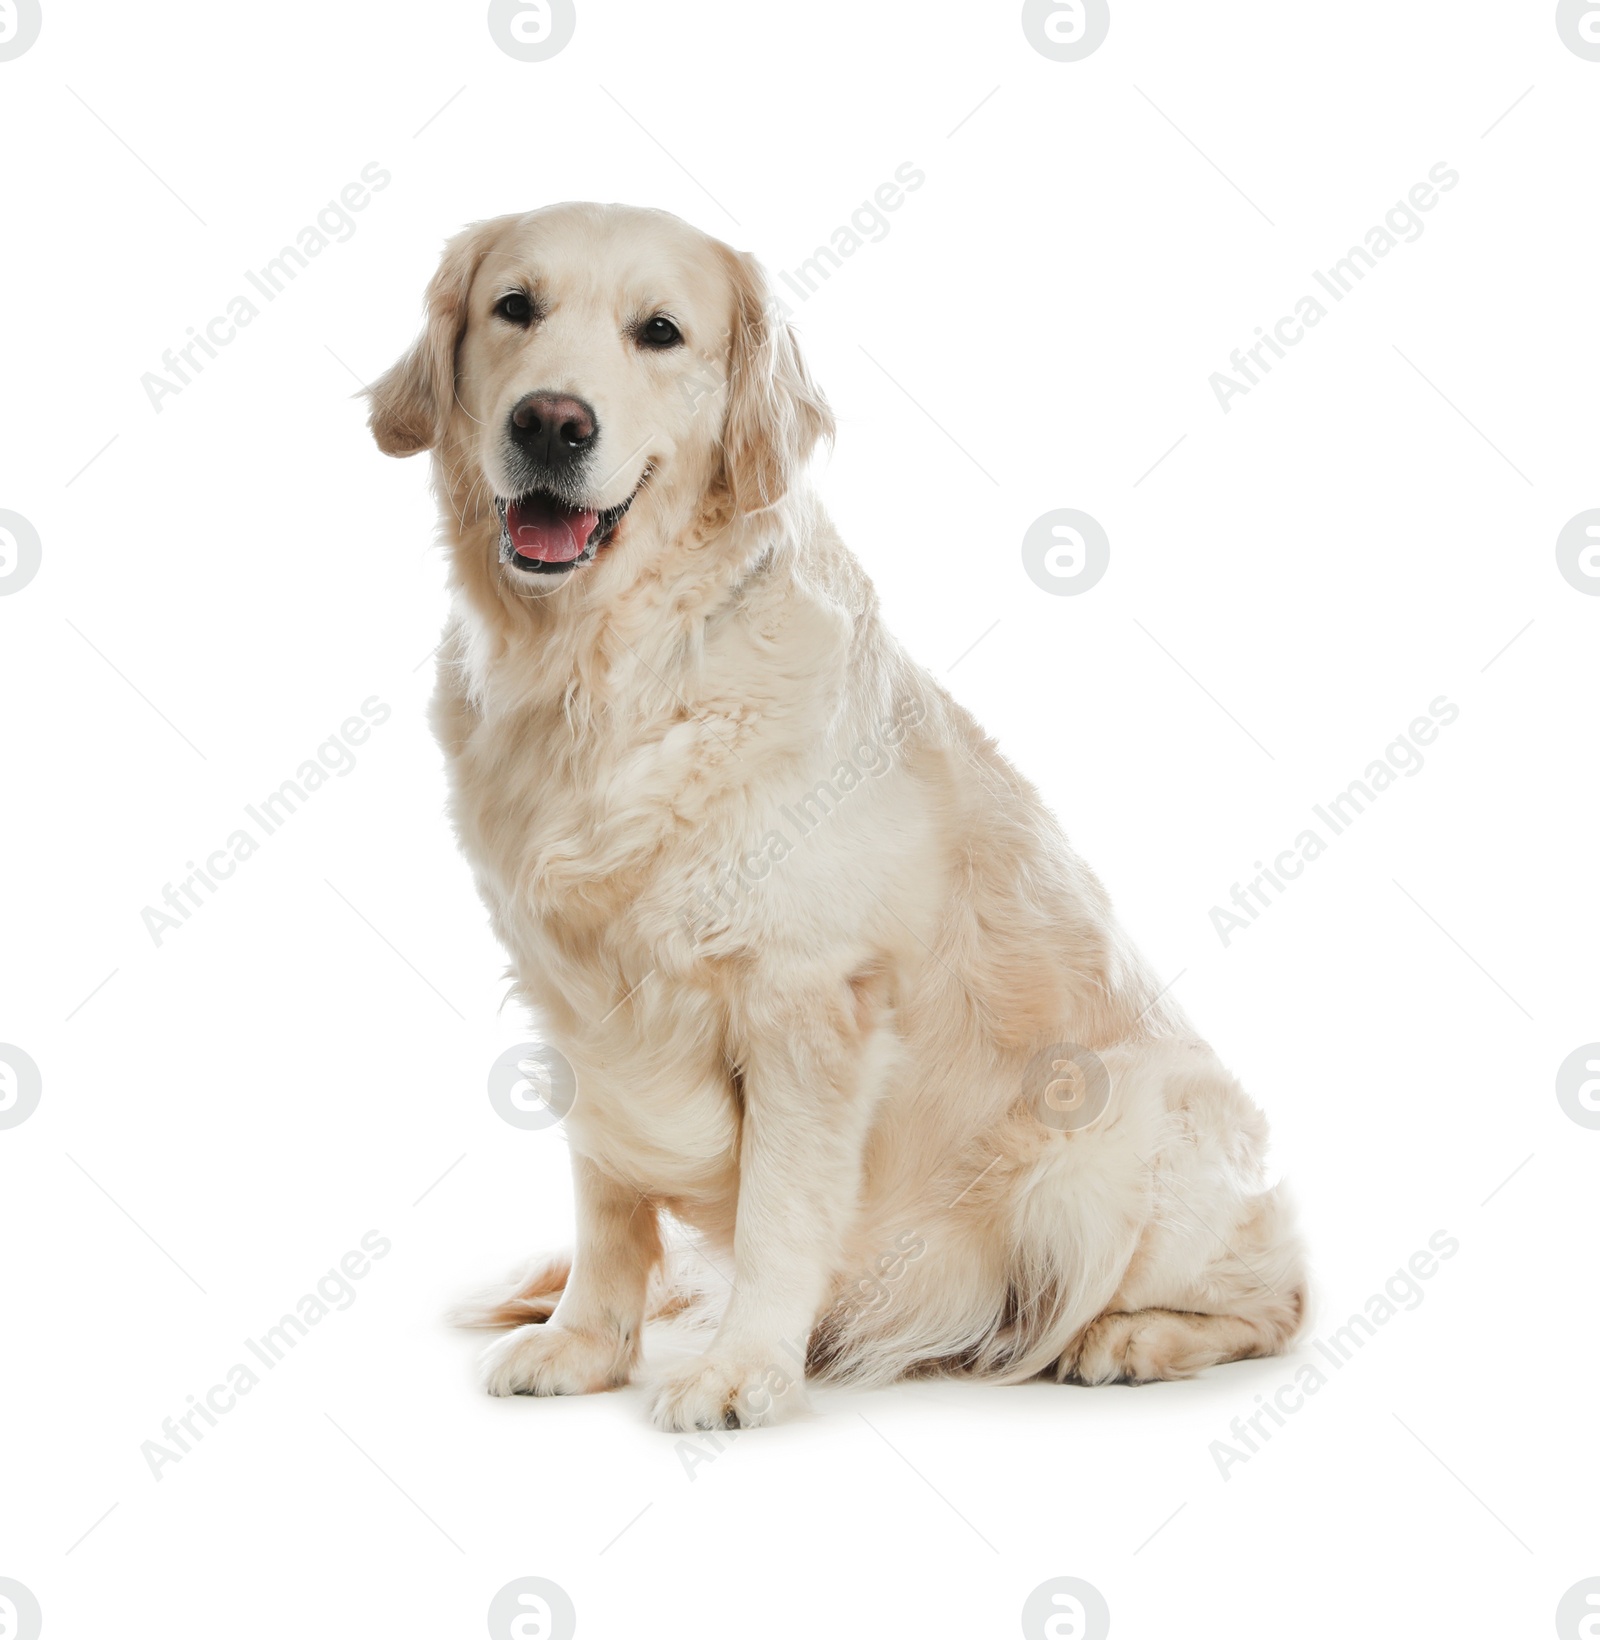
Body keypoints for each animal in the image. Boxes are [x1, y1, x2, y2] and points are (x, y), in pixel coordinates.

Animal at [368, 201, 1304, 1436]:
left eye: (659, 331)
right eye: (513, 307)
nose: (551, 422)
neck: (608, 676)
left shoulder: (806, 1000)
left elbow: (779, 1209)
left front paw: (740, 1370)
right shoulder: (581, 1002)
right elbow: (607, 1201)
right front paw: (585, 1343)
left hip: (1110, 1138)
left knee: (1276, 1292)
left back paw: (1128, 1338)